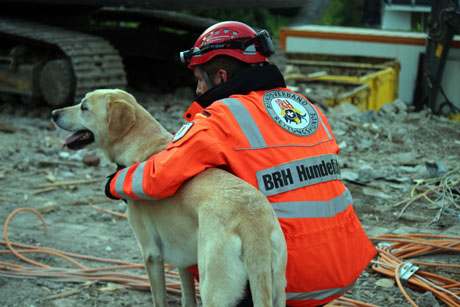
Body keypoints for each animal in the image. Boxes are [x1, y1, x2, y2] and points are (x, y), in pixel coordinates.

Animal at [52, 89, 286, 307]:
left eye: (84, 107)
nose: (53, 113)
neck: (142, 144)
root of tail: (251, 220)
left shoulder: (151, 255)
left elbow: (159, 298)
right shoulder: (183, 259)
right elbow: (187, 296)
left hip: (214, 287)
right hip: (276, 287)